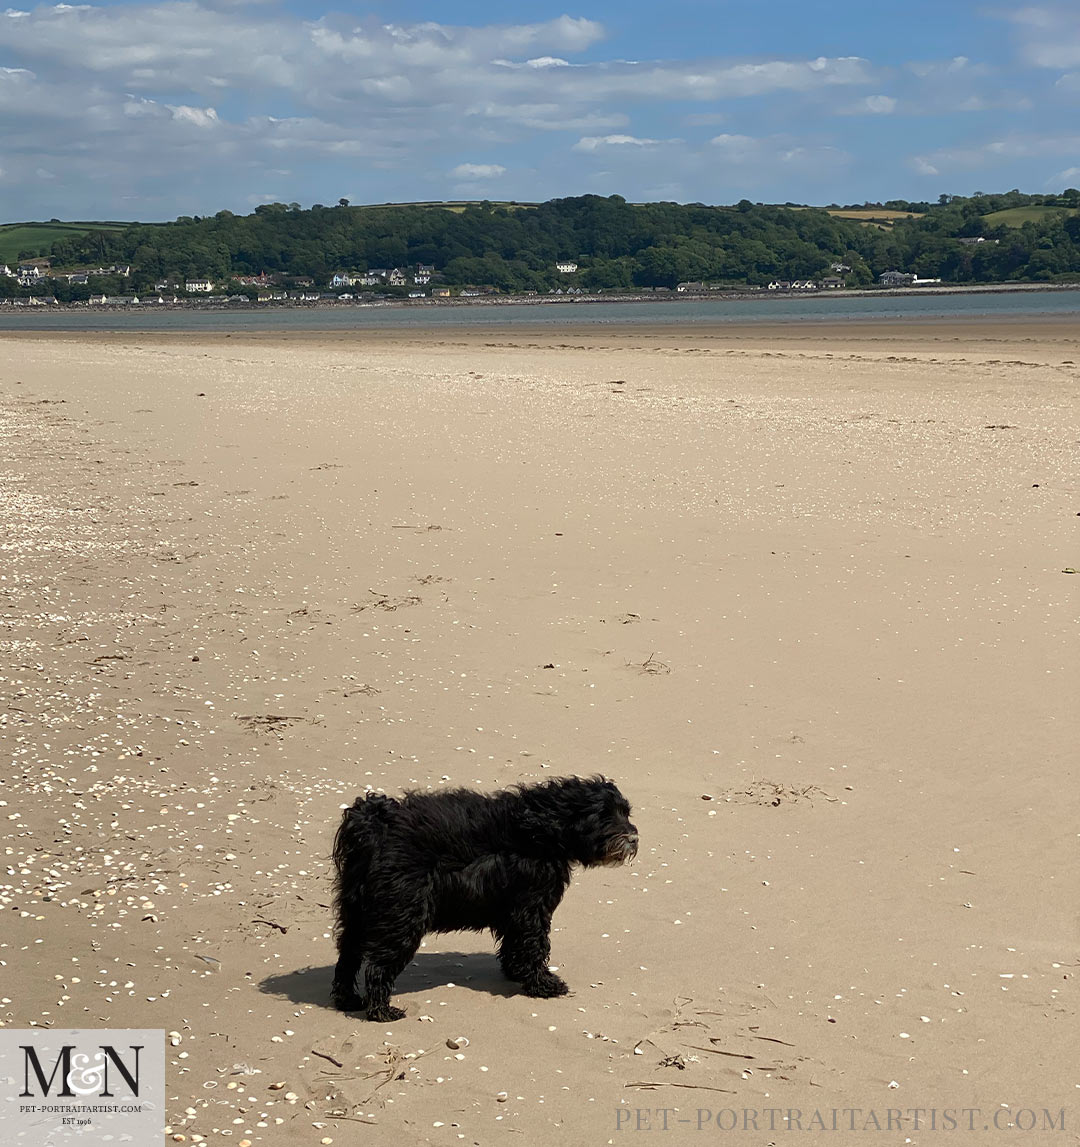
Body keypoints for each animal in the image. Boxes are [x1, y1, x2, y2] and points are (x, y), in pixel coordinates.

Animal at [330, 775, 632, 1018]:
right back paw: (381, 1011)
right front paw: (543, 984)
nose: (633, 838)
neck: (545, 828)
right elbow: (534, 946)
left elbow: (514, 944)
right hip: (401, 916)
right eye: (604, 814)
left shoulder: (514, 910)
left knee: (347, 957)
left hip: (358, 913)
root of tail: (374, 826)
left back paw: (348, 1000)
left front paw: (516, 972)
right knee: (377, 967)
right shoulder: (531, 907)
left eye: (625, 813)